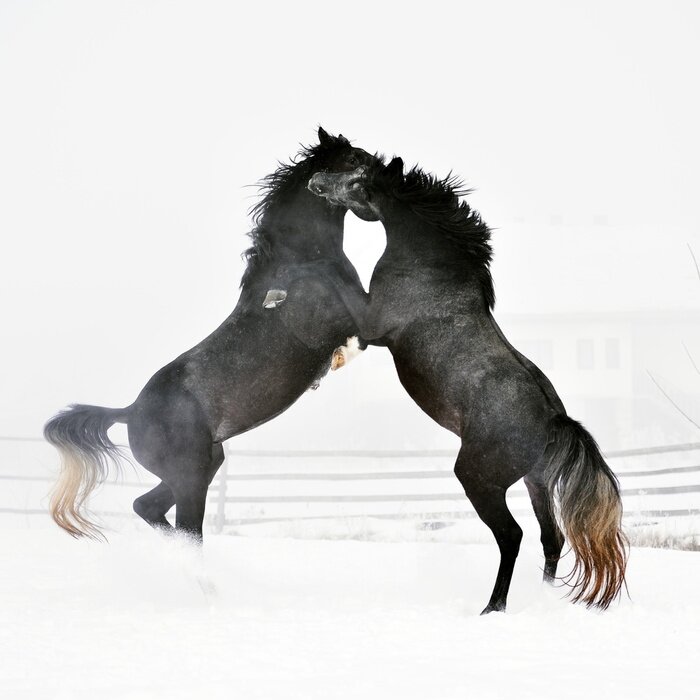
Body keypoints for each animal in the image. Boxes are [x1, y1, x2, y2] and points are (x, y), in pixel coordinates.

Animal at [44, 127, 380, 542]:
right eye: (354, 159)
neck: (301, 259)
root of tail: (130, 411)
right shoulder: (358, 321)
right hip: (191, 478)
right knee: (184, 528)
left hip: (203, 467)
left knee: (148, 508)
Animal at [307, 158, 628, 613]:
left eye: (358, 179)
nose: (317, 181)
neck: (430, 268)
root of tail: (554, 418)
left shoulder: (373, 322)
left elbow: (341, 293)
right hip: (536, 481)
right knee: (551, 537)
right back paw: (540, 597)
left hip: (479, 478)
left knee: (512, 536)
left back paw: (493, 607)